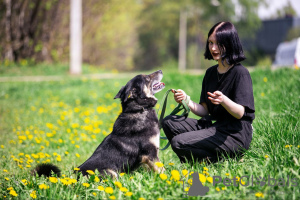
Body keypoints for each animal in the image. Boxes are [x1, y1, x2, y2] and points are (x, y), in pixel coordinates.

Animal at [34, 70, 165, 178]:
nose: (160, 70)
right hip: (110, 172)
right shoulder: (149, 154)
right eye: (147, 78)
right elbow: (162, 170)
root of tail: (69, 179)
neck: (139, 109)